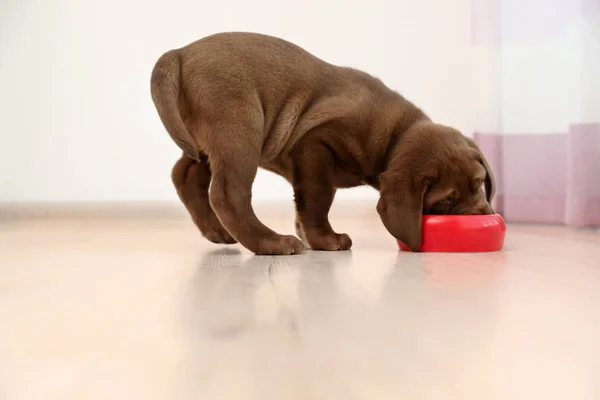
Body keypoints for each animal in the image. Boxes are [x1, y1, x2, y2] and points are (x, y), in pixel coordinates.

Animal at [151, 32, 496, 255]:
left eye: (480, 184)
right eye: (446, 200)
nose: (486, 217)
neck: (396, 136)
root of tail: (179, 53)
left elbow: (304, 207)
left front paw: (309, 234)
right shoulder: (315, 148)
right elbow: (317, 202)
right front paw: (325, 239)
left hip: (206, 141)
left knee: (185, 174)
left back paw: (217, 231)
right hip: (239, 132)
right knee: (227, 195)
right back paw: (272, 243)